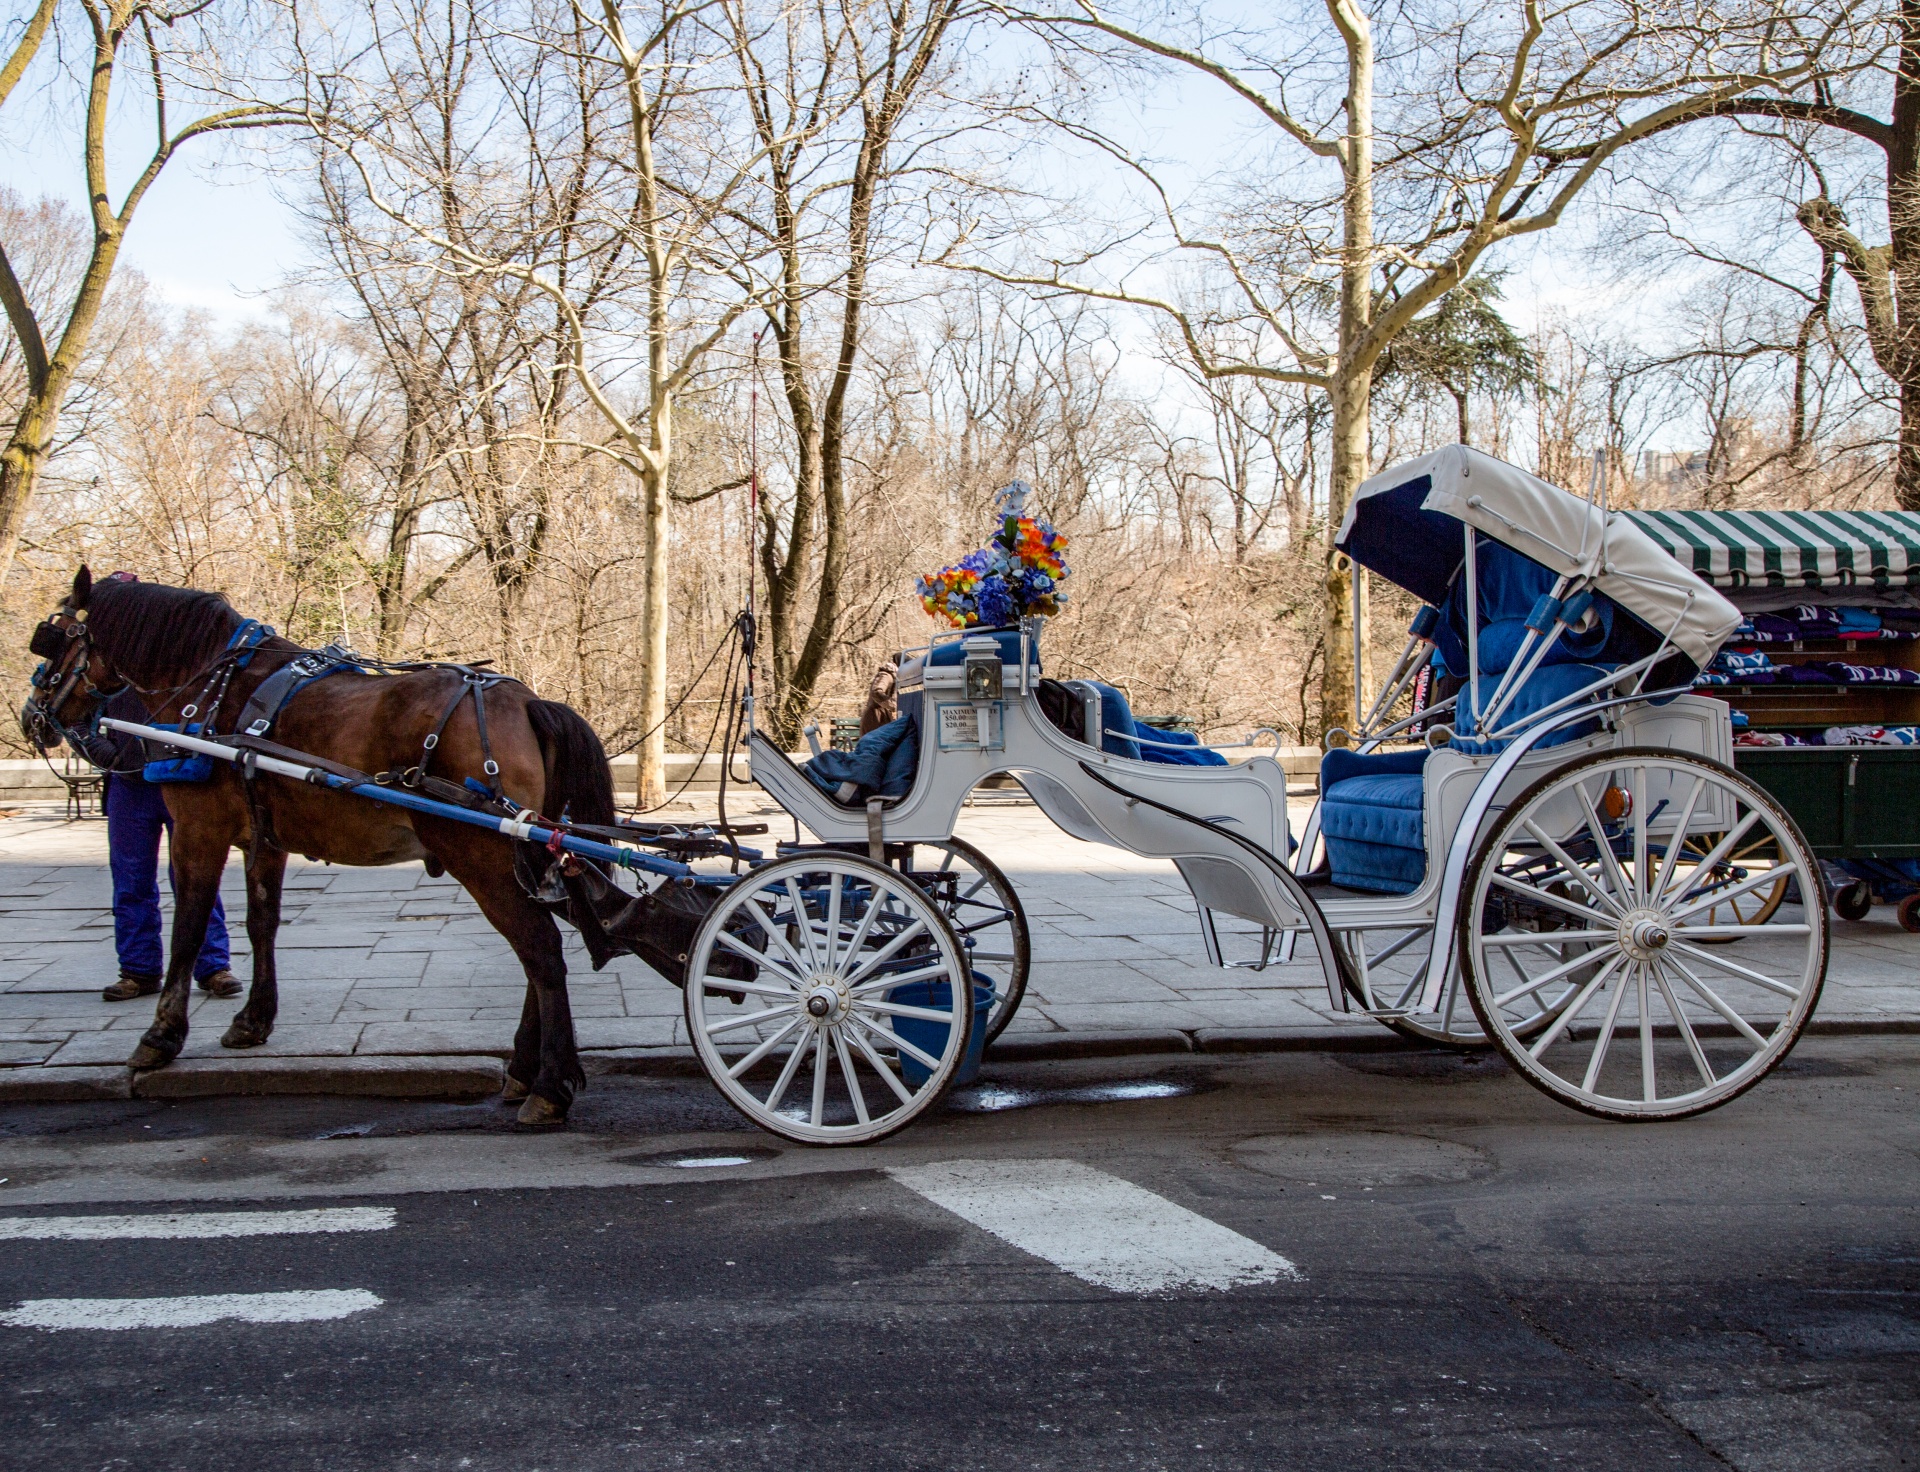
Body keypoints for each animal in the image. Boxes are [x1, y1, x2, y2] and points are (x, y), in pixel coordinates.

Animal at [24, 568, 622, 1128]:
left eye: (51, 637)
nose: (33, 715)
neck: (214, 686)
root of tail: (527, 703)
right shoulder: (263, 837)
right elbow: (261, 921)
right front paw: (253, 1019)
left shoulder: (197, 828)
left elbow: (188, 928)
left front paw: (161, 1035)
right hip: (524, 852)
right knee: (539, 950)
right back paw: (524, 1069)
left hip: (481, 857)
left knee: (540, 949)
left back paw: (549, 1086)